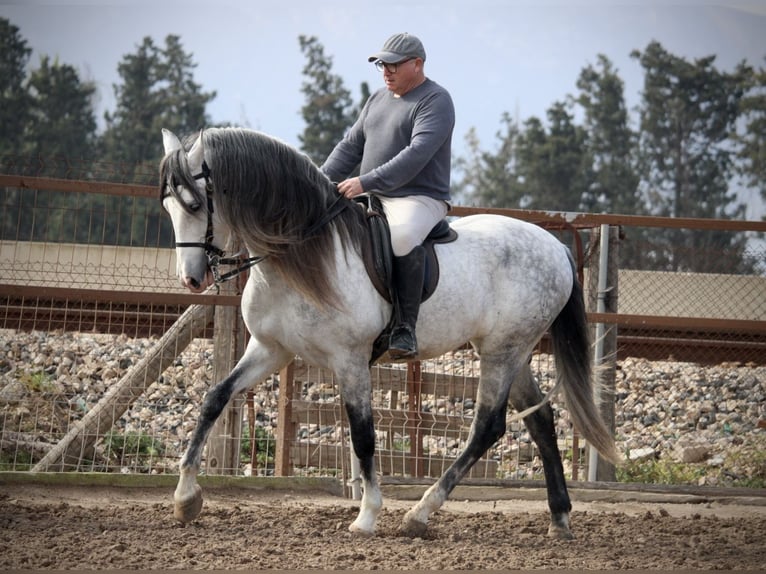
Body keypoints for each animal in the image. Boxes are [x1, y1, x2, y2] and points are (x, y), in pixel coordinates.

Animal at [159, 126, 620, 540]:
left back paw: (420, 514)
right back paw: (559, 519)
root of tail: (556, 247)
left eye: (196, 204)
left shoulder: (349, 360)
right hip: (511, 352)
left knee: (487, 427)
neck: (301, 255)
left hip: (503, 352)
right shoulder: (271, 349)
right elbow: (215, 399)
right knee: (540, 420)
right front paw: (185, 499)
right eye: (167, 207)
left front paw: (366, 517)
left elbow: (363, 436)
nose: (192, 280)